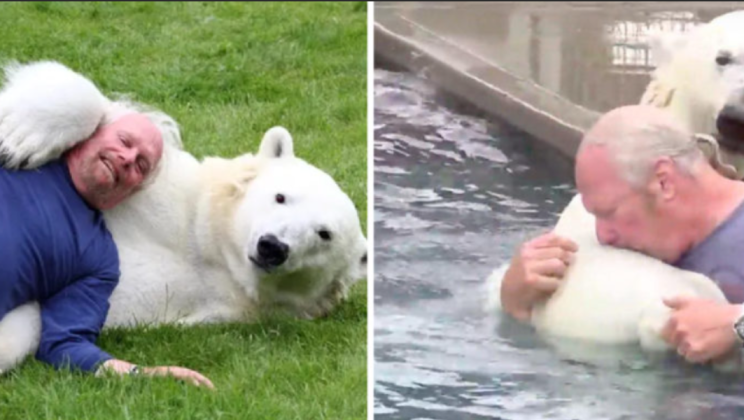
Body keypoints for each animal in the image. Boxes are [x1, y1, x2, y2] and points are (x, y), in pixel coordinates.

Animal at [0, 60, 368, 373]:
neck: (215, 254)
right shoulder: (172, 194)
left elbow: (31, 327)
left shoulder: (204, 305)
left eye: (324, 234)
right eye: (281, 196)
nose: (273, 246)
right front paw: (21, 137)